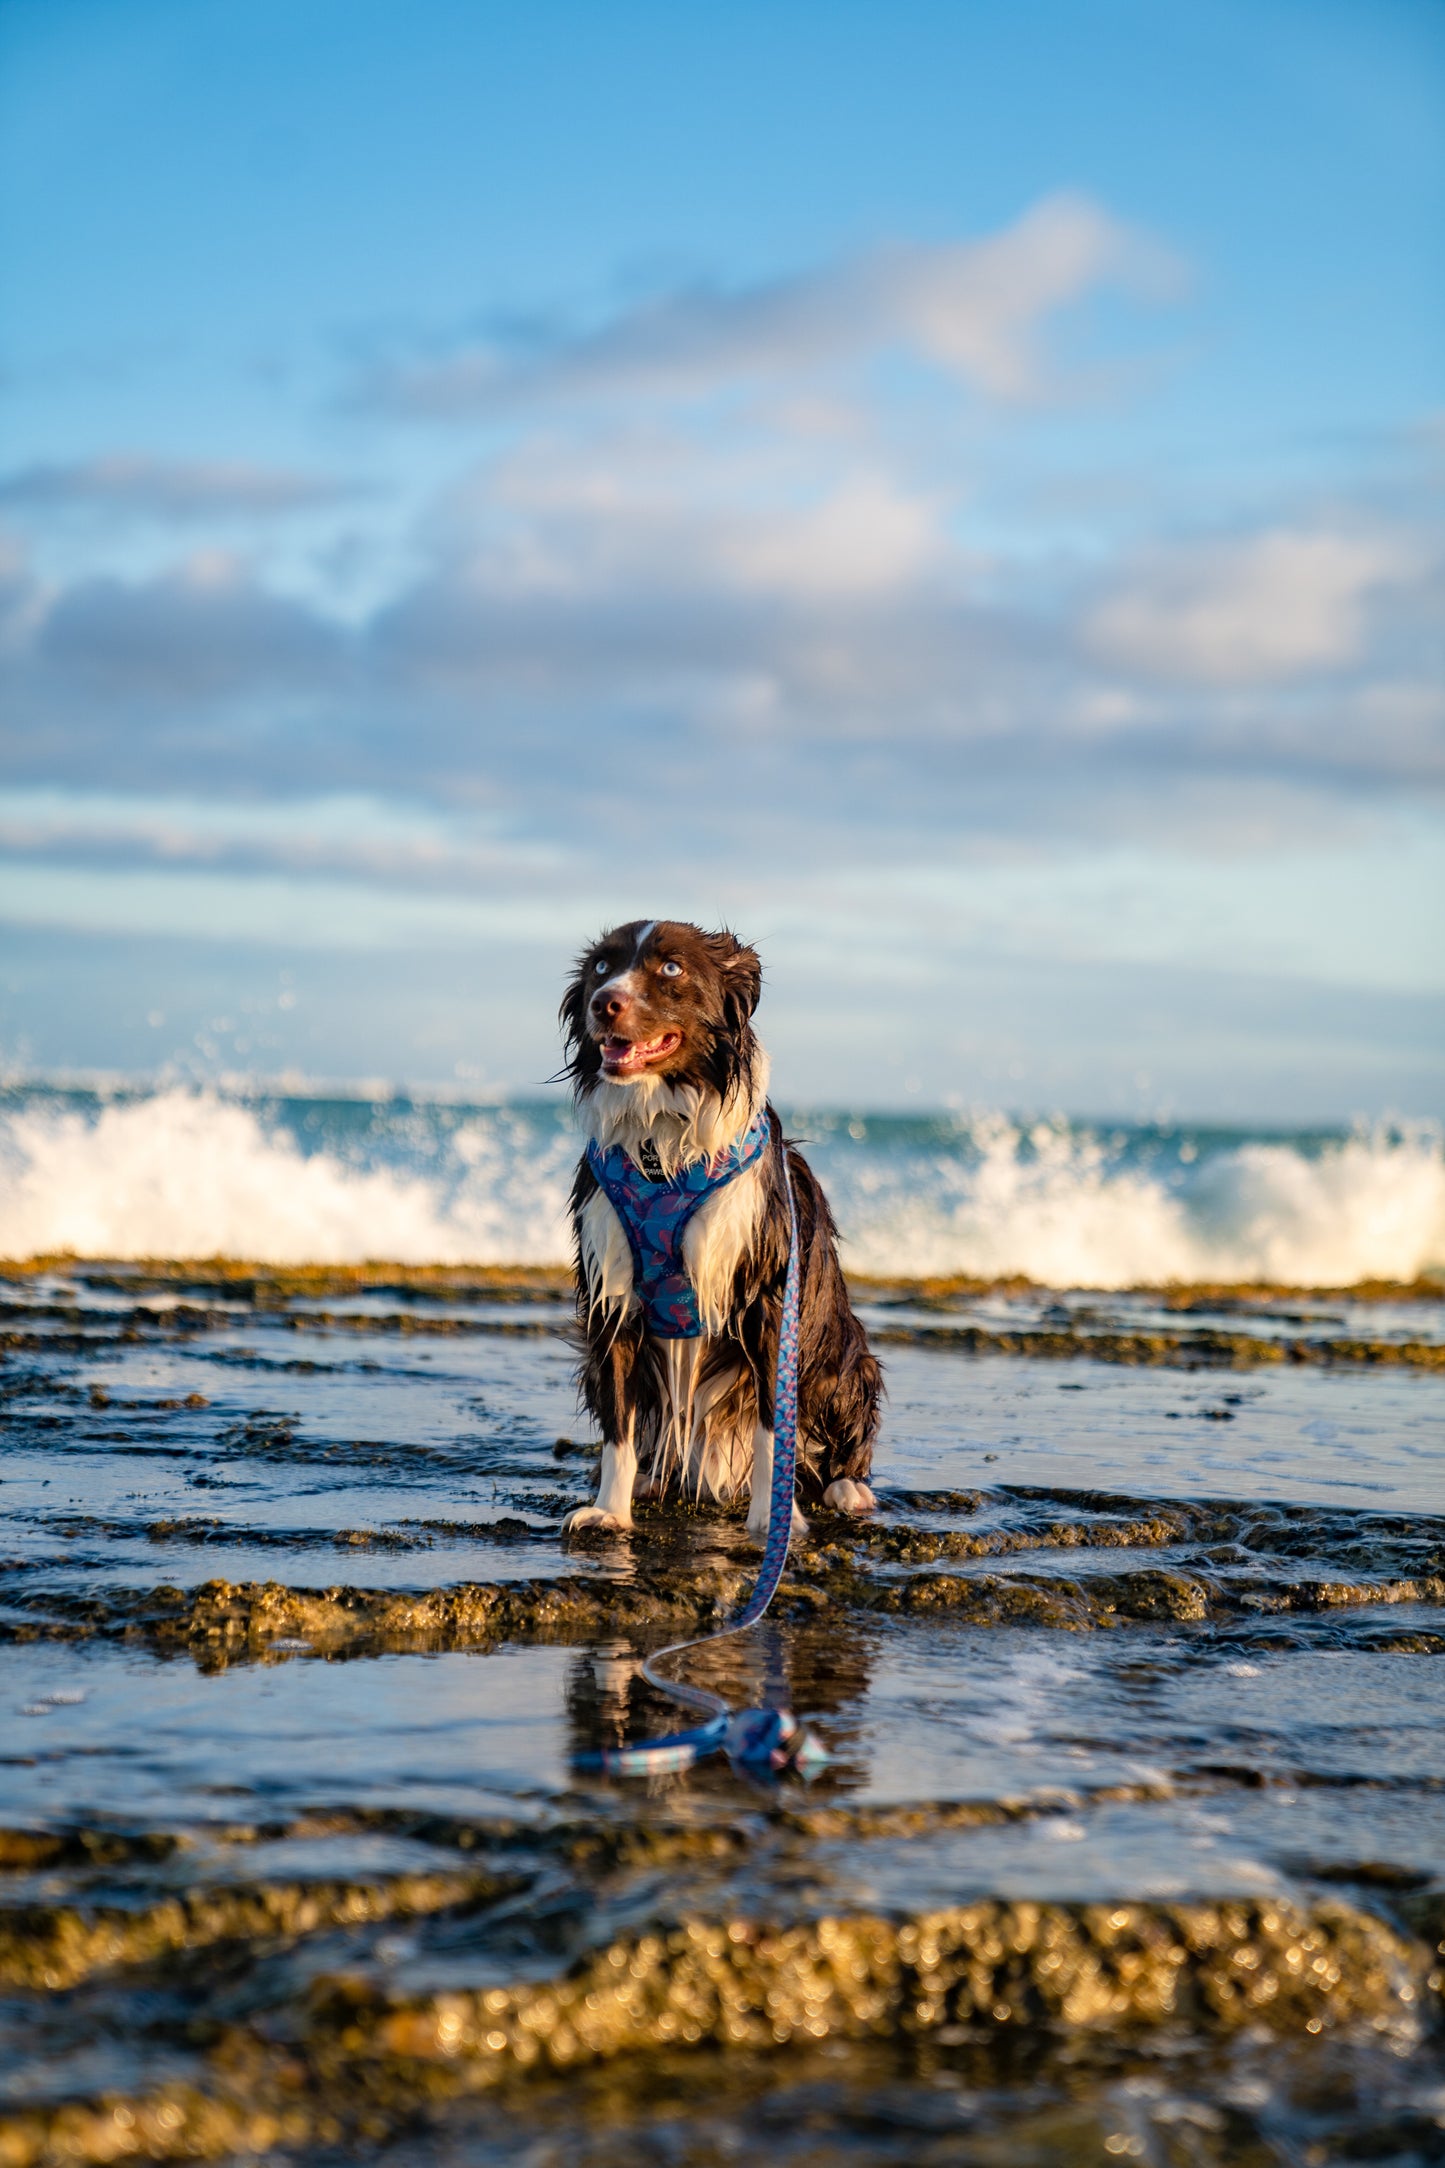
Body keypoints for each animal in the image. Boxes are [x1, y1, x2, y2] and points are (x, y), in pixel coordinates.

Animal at [563, 914, 883, 1543]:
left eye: (671, 968)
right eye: (602, 966)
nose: (604, 1002)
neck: (660, 1137)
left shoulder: (767, 1298)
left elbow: (772, 1426)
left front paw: (772, 1519)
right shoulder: (612, 1291)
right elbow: (618, 1423)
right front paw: (610, 1510)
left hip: (843, 1355)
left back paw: (846, 1487)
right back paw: (649, 1479)